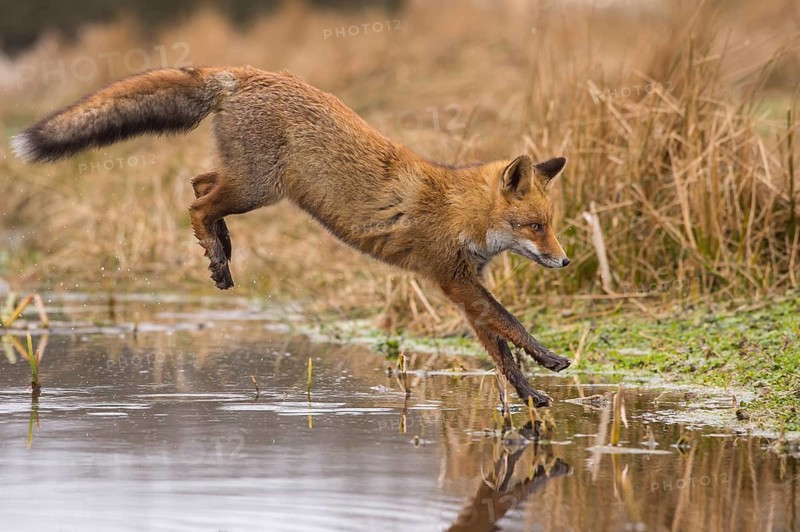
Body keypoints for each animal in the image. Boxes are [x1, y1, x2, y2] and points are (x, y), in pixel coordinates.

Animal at [11, 66, 572, 406]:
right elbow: (511, 324)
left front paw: (530, 394)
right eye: (535, 227)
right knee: (197, 201)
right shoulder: (453, 279)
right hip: (258, 187)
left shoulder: (462, 290)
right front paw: (549, 360)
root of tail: (242, 73)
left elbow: (500, 351)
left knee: (198, 182)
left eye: (551, 225)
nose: (564, 262)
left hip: (246, 182)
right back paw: (217, 255)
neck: (460, 211)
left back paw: (220, 248)